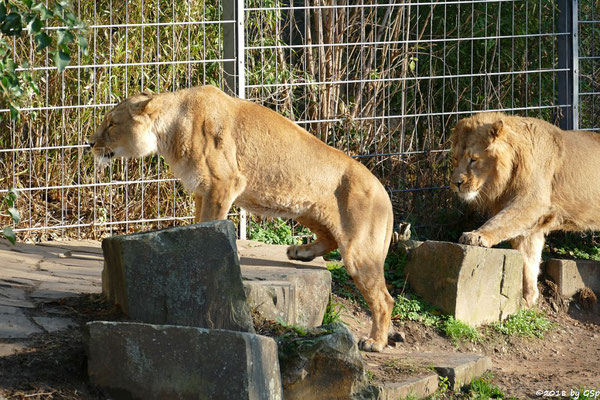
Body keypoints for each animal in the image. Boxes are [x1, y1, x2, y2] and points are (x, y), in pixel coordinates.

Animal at [89, 86, 396, 352]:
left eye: (112, 124)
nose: (90, 142)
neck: (169, 130)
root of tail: (384, 192)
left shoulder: (224, 183)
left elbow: (210, 222)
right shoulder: (201, 190)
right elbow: (198, 223)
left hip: (360, 251)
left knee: (384, 299)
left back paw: (375, 342)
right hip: (308, 211)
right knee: (330, 238)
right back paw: (301, 251)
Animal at [450, 112, 600, 306]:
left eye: (473, 159)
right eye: (455, 159)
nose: (456, 183)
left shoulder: (532, 202)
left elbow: (499, 221)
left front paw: (476, 235)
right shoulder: (532, 226)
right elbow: (528, 258)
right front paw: (529, 298)